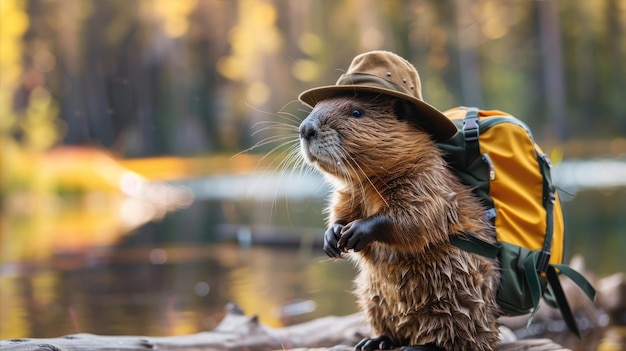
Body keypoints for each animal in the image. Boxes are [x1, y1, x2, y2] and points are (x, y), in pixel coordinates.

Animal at [296, 50, 498, 351]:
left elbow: (417, 215)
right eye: (317, 106)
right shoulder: (350, 191)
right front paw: (332, 237)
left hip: (456, 293)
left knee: (458, 337)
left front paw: (356, 231)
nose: (306, 129)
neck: (371, 183)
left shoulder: (427, 179)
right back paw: (374, 341)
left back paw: (418, 345)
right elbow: (341, 206)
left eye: (356, 112)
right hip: (372, 295)